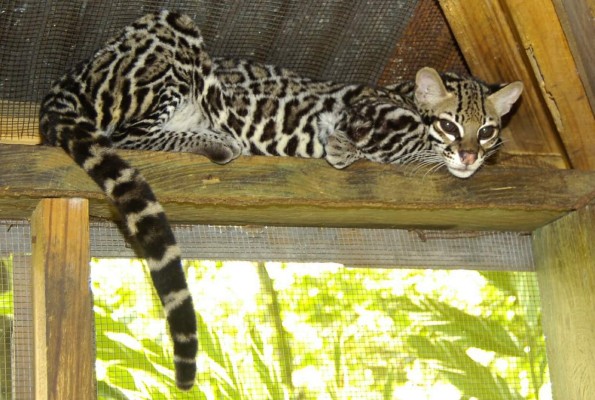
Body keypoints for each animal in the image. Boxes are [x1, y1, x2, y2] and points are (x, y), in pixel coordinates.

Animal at [39, 10, 524, 390]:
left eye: (487, 130)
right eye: (449, 125)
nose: (470, 154)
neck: (400, 93)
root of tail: (63, 82)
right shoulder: (369, 115)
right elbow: (405, 144)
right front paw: (364, 150)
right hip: (171, 34)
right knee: (128, 136)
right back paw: (215, 141)